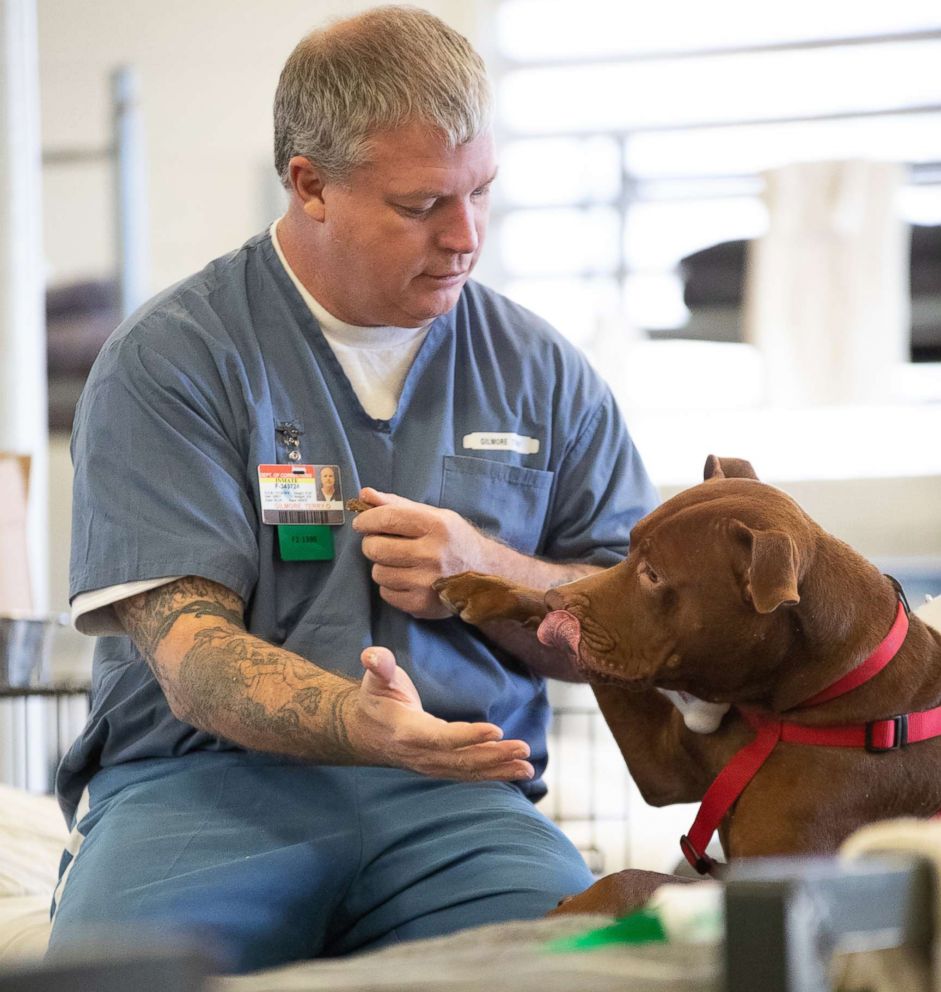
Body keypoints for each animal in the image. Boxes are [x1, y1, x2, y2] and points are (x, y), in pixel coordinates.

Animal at [436, 458, 940, 916]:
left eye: (654, 574)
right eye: (629, 551)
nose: (558, 600)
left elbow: (632, 879)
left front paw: (571, 909)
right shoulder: (664, 766)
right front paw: (487, 588)